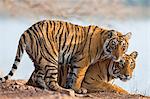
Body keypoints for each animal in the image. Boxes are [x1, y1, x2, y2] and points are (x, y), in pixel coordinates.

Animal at [0, 19, 131, 93]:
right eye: (114, 45)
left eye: (123, 47)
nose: (118, 57)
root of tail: (27, 31)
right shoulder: (82, 61)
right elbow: (79, 76)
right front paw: (77, 89)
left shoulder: (74, 61)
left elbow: (72, 75)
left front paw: (71, 86)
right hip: (51, 59)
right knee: (50, 81)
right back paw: (64, 90)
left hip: (40, 60)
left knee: (38, 76)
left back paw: (46, 88)